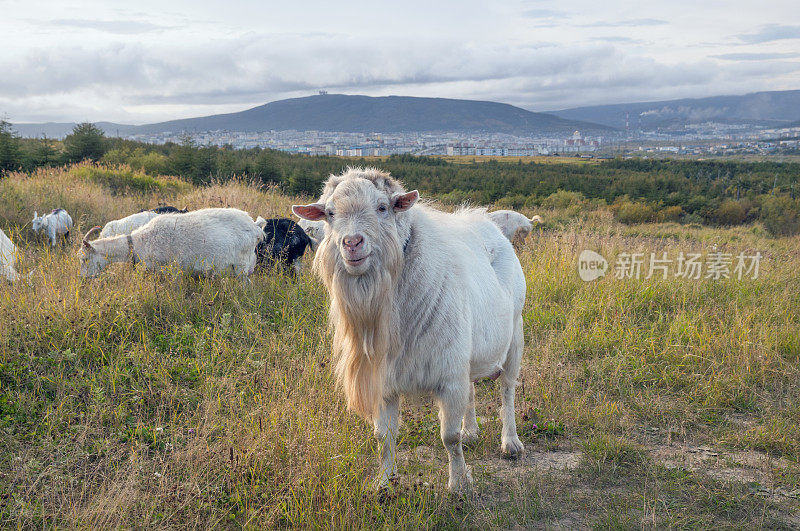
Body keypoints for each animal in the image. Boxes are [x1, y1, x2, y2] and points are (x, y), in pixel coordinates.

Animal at [77, 208, 260, 278]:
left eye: (84, 259)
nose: (84, 279)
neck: (138, 242)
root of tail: (256, 227)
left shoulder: (169, 267)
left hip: (241, 266)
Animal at [292, 168, 524, 492]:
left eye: (382, 207)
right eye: (329, 213)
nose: (352, 243)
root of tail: (485, 223)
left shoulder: (449, 376)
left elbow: (449, 438)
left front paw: (459, 485)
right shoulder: (385, 379)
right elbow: (383, 438)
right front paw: (383, 484)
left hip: (515, 335)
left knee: (507, 391)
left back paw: (510, 442)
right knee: (473, 390)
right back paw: (471, 431)